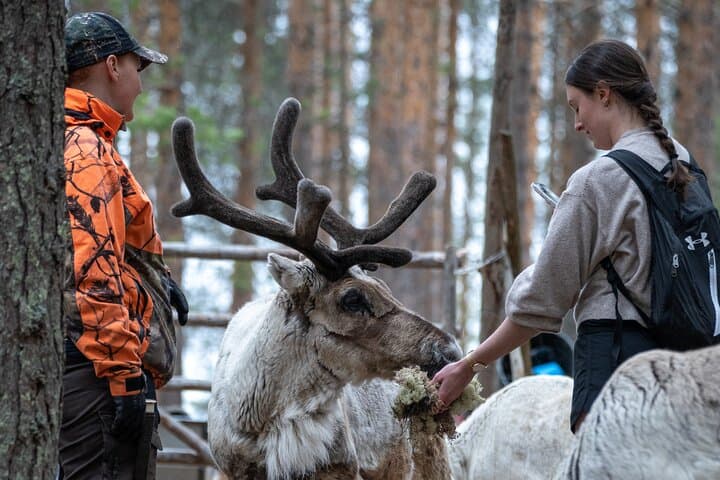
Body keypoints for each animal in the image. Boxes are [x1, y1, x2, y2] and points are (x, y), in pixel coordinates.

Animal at [171, 98, 462, 479]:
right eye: (352, 298)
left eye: (384, 286)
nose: (451, 351)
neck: (273, 420)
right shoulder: (229, 467)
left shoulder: (342, 466)